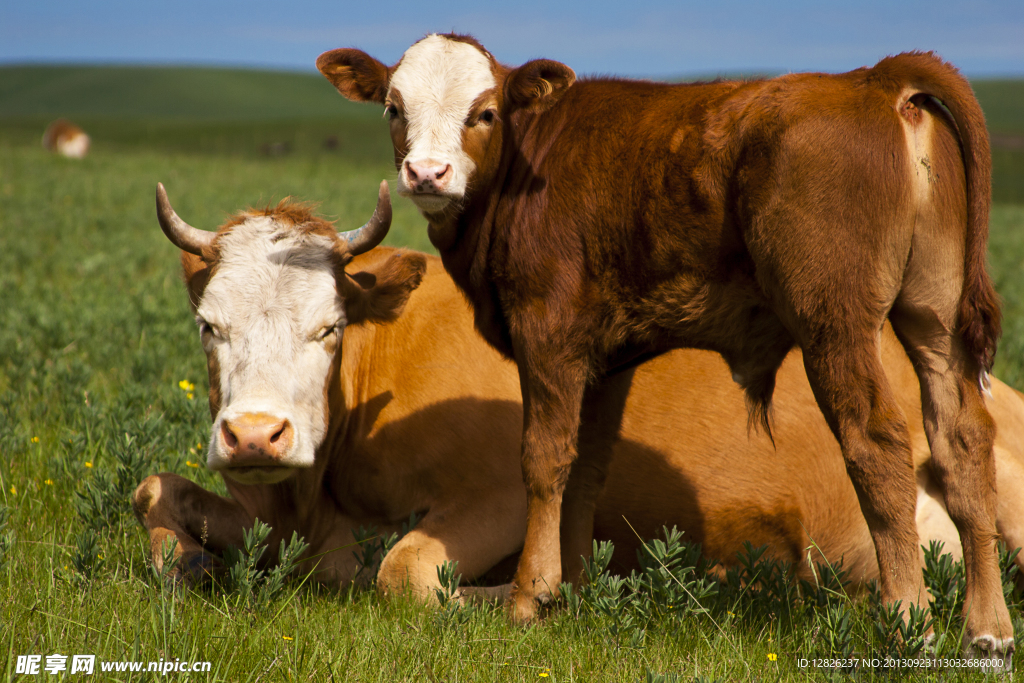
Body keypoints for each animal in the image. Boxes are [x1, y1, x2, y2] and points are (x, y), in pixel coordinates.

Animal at [132, 185, 1024, 614]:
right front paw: (185, 562)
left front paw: (542, 592)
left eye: (327, 327)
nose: (256, 435)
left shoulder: (494, 491)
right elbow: (155, 490)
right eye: (210, 325)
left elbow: (403, 571)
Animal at [317, 37, 1007, 663]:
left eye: (484, 112)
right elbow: (584, 472)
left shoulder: (547, 331)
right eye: (393, 107)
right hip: (935, 318)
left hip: (835, 323)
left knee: (877, 445)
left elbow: (543, 460)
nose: (426, 174)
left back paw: (908, 621)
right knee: (962, 440)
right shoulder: (602, 359)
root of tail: (873, 78)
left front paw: (529, 597)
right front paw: (573, 592)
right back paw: (988, 629)